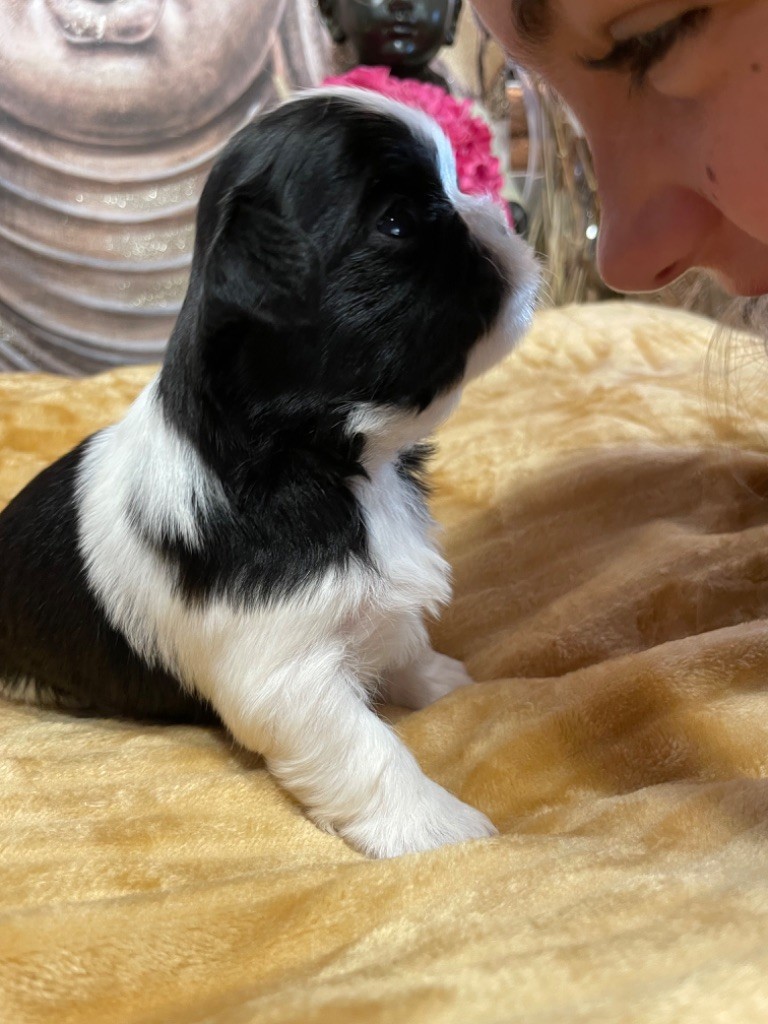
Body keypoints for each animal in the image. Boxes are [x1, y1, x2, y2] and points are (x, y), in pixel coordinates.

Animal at [0, 88, 538, 858]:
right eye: (397, 221)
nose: (512, 214)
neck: (333, 457)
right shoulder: (285, 671)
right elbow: (366, 747)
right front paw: (432, 826)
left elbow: (400, 640)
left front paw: (441, 680)